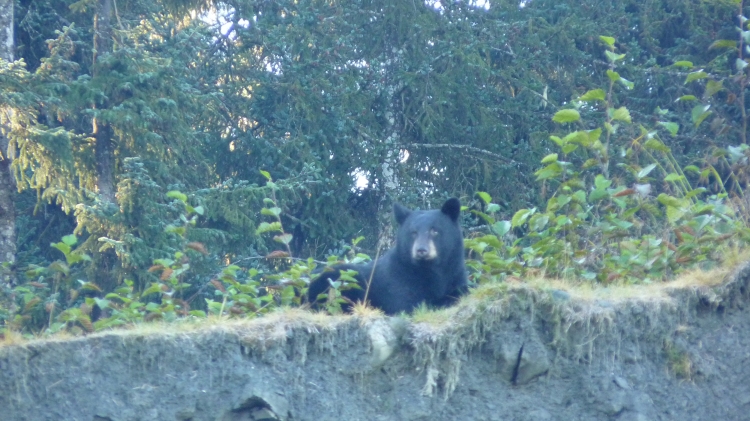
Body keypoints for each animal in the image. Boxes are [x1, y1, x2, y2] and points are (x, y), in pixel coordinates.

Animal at [307, 198, 467, 315]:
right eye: (413, 232)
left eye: (435, 230)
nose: (421, 250)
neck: (430, 270)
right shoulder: (398, 281)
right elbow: (405, 304)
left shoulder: (455, 274)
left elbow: (460, 292)